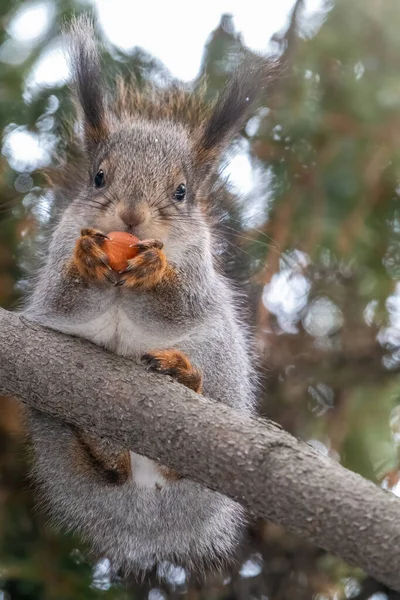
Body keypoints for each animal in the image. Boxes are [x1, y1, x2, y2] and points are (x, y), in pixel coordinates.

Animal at [22, 14, 266, 576]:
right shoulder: (55, 264)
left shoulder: (199, 272)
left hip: (219, 363)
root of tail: (147, 509)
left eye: (181, 192)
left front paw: (154, 270)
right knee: (104, 464)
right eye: (99, 177)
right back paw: (105, 452)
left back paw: (184, 376)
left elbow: (178, 302)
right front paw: (87, 262)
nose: (132, 216)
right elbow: (64, 296)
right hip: (52, 413)